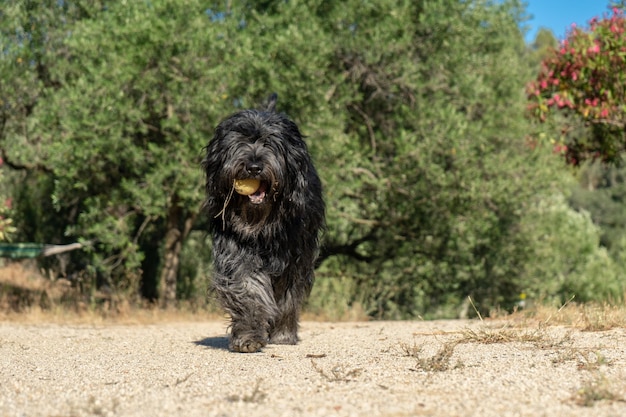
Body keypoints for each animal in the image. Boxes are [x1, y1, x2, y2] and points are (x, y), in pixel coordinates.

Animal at [202, 94, 324, 352]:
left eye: (269, 143)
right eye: (240, 140)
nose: (254, 167)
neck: (264, 222)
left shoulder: (295, 255)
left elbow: (289, 296)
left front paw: (284, 334)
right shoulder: (236, 248)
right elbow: (247, 288)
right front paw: (248, 336)